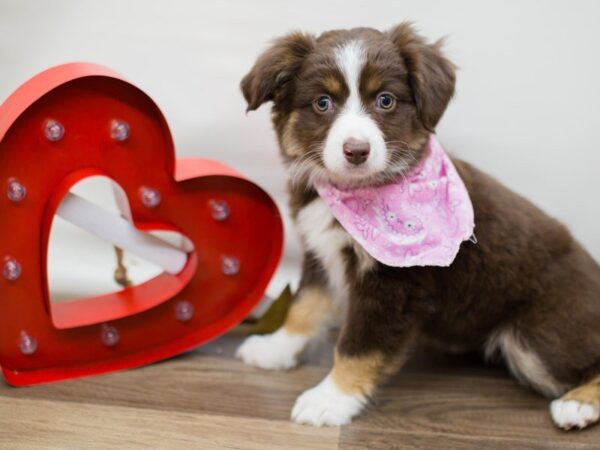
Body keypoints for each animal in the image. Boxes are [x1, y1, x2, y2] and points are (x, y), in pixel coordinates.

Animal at [234, 23, 600, 428]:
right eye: (322, 103)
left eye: (386, 100)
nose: (356, 151)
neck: (356, 190)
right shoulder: (321, 254)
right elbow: (305, 306)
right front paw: (276, 348)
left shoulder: (395, 287)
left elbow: (358, 346)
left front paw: (330, 399)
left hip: (538, 335)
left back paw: (578, 404)